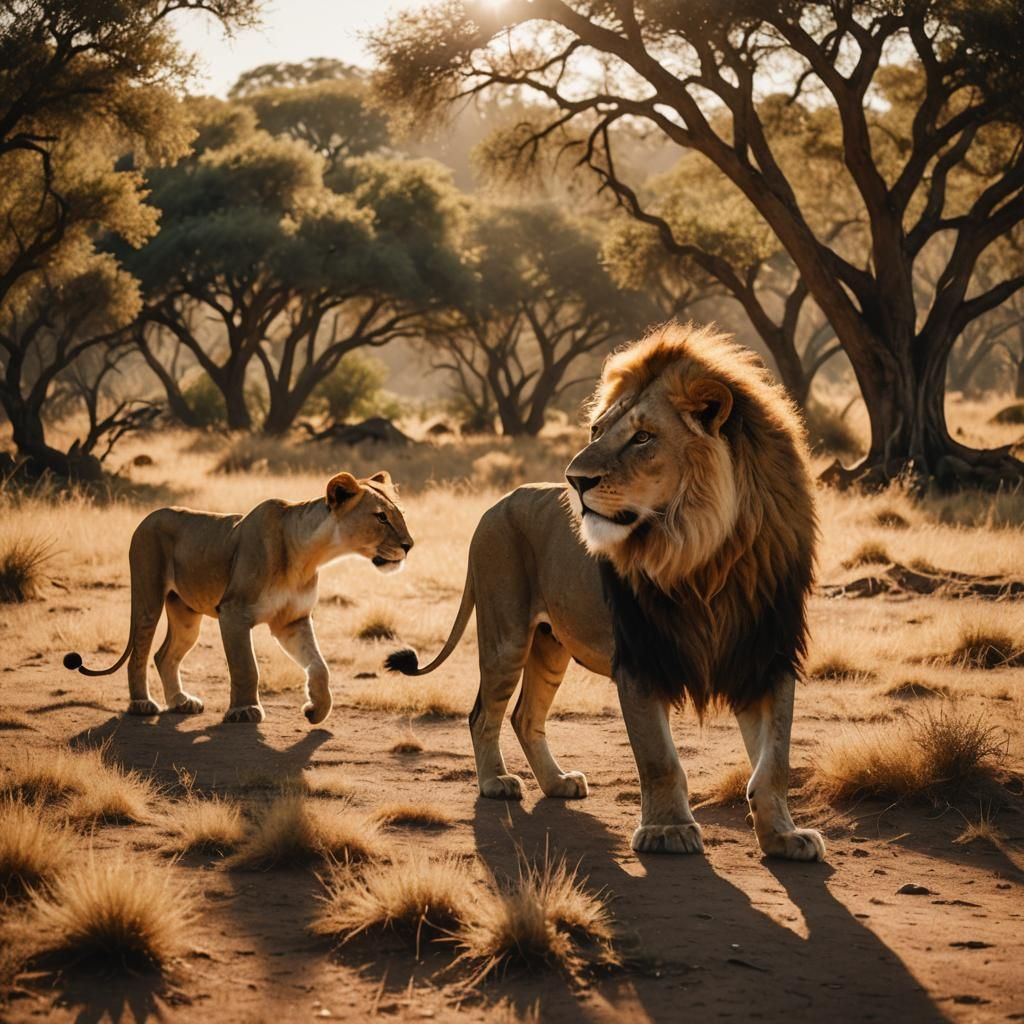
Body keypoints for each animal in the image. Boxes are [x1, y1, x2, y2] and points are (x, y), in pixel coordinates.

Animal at [63, 471, 412, 725]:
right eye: (381, 517)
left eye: (401, 514)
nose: (409, 545)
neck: (310, 555)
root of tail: (148, 516)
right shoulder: (233, 613)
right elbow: (246, 666)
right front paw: (244, 711)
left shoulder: (292, 621)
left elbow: (319, 666)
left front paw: (316, 709)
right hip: (148, 595)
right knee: (140, 651)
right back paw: (142, 704)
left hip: (186, 615)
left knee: (164, 655)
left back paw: (181, 702)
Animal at [387, 323, 824, 861]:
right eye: (596, 431)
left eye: (642, 437)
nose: (575, 480)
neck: (709, 556)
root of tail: (498, 502)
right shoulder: (639, 657)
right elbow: (659, 756)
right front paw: (668, 831)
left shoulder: (767, 653)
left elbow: (775, 760)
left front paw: (784, 836)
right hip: (506, 635)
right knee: (482, 713)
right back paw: (495, 783)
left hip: (550, 645)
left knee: (525, 716)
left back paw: (556, 783)